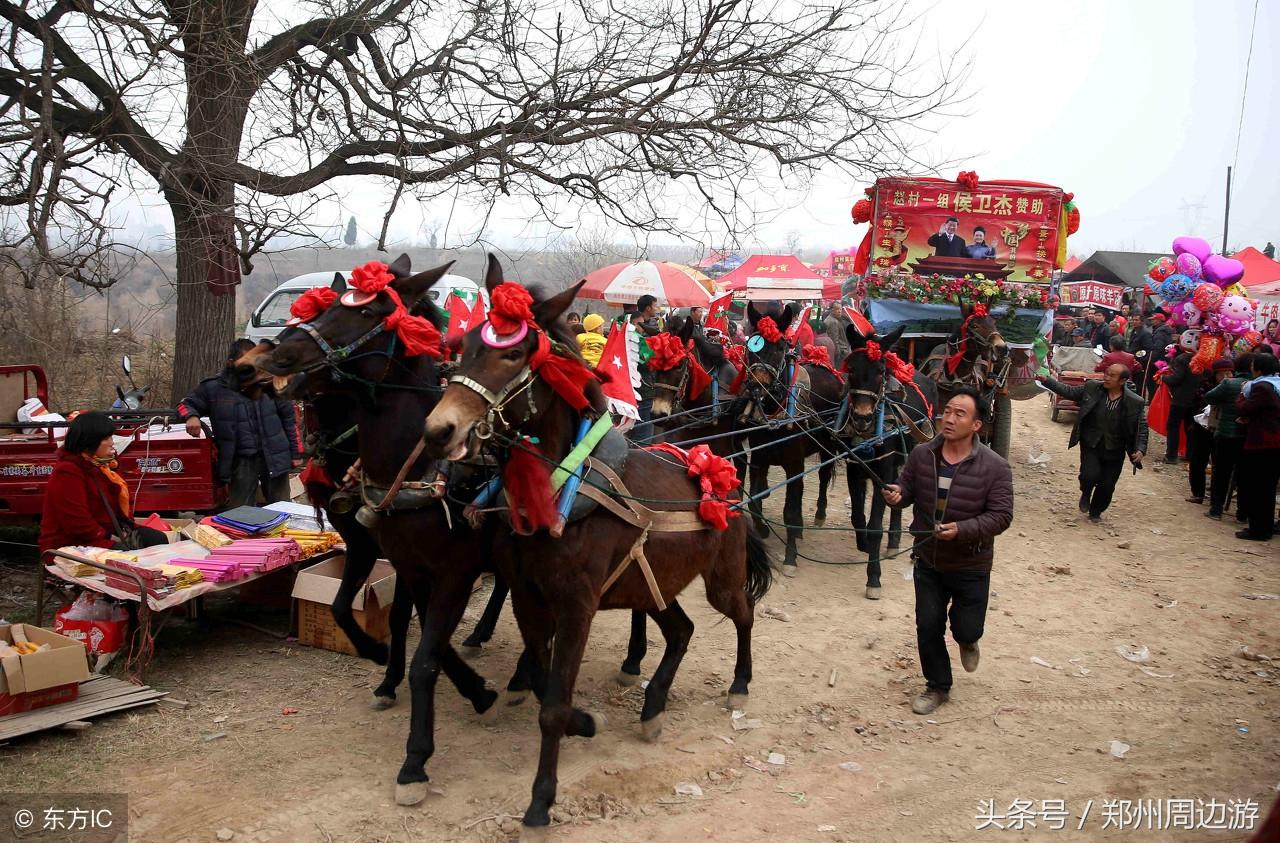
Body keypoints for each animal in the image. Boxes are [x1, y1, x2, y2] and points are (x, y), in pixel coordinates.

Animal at [419, 255, 768, 828]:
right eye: (465, 342)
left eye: (513, 352)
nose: (438, 430)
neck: (564, 489)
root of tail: (721, 477)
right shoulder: (528, 598)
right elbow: (543, 684)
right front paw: (584, 723)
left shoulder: (577, 605)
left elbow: (553, 704)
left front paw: (541, 800)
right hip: (650, 587)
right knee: (682, 631)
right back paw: (653, 705)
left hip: (721, 577)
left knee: (741, 614)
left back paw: (739, 684)